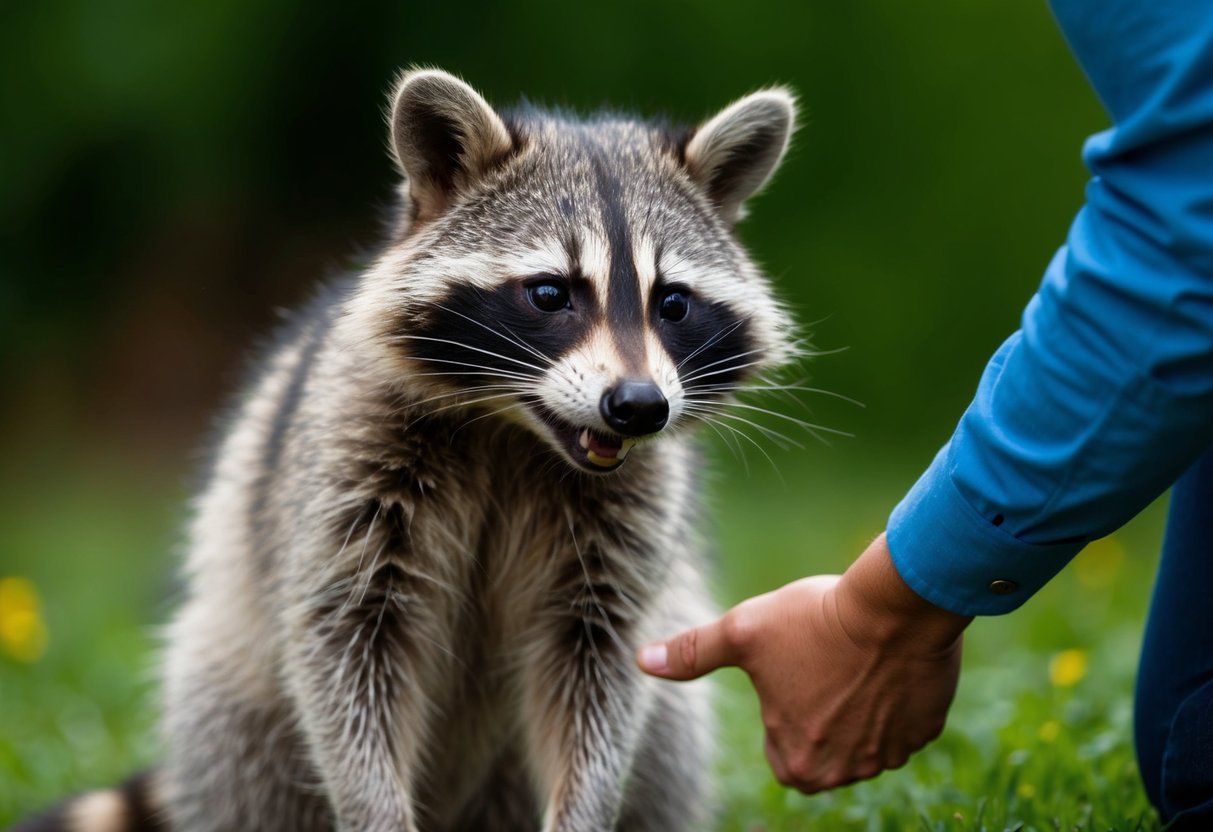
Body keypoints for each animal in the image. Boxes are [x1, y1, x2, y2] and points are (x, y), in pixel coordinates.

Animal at [14, 68, 798, 832]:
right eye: (550, 294)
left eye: (674, 303)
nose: (637, 406)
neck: (514, 430)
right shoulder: (347, 456)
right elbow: (344, 648)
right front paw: (373, 808)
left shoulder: (625, 525)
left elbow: (597, 672)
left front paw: (584, 810)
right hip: (232, 686)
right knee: (236, 741)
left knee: (669, 734)